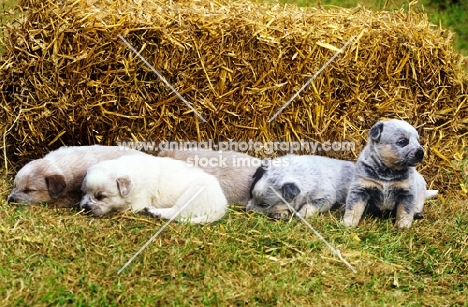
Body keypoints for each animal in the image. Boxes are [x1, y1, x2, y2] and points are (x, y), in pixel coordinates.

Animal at [80, 156, 229, 224]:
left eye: (101, 196)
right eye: (83, 192)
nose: (85, 207)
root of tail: (221, 206)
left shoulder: (138, 202)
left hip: (193, 194)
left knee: (176, 212)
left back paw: (155, 212)